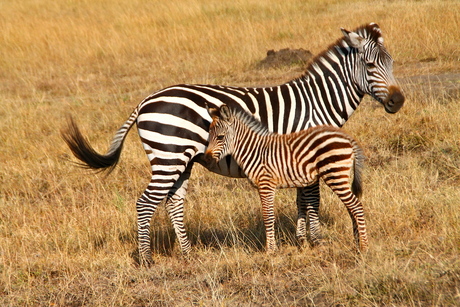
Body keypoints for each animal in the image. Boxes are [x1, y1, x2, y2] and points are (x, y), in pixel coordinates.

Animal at [205, 104, 366, 254]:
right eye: (208, 137)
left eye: (220, 137)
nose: (207, 159)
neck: (254, 151)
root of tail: (346, 137)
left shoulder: (266, 184)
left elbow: (268, 216)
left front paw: (271, 250)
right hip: (338, 176)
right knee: (351, 207)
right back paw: (356, 242)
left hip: (335, 174)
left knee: (356, 206)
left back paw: (363, 247)